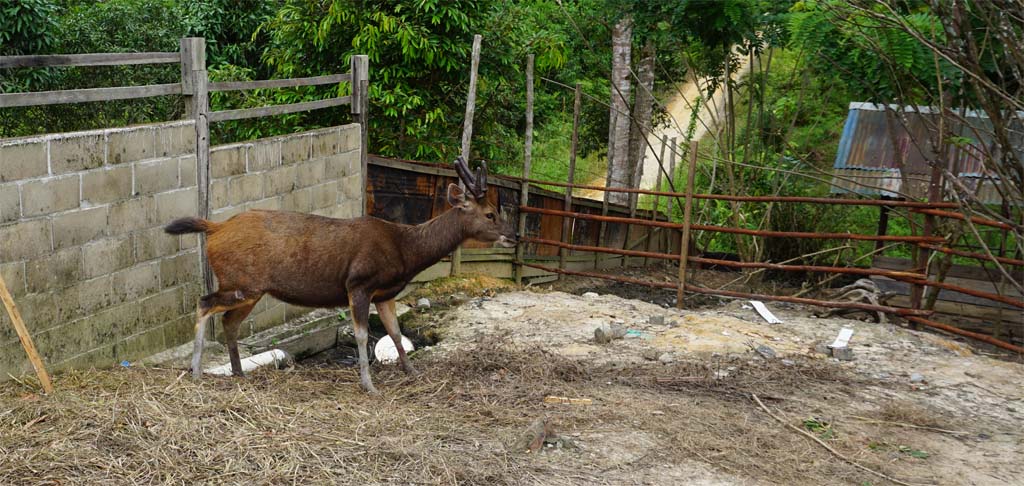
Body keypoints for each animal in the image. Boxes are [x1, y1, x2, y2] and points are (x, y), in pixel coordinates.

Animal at [164, 157, 516, 392]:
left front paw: (412, 372)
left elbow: (396, 333)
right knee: (204, 303)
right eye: (490, 213)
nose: (514, 237)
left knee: (228, 321)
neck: (405, 251)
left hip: (251, 287)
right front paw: (368, 384)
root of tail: (215, 228)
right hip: (241, 281)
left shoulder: (386, 293)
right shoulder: (358, 283)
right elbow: (362, 335)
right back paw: (195, 370)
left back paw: (238, 372)